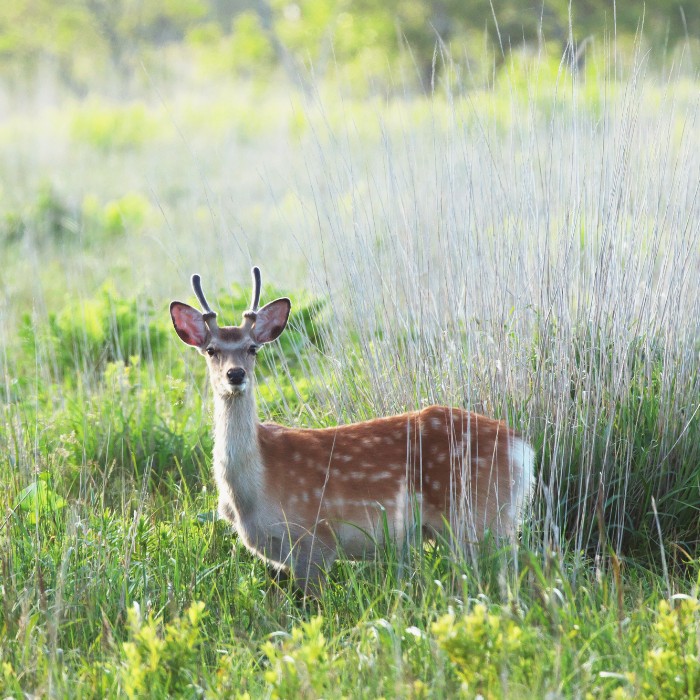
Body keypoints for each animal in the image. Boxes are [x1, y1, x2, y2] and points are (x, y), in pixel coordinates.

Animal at [170, 268, 536, 596]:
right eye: (211, 349)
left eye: (252, 348)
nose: (235, 375)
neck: (253, 494)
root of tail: (522, 448)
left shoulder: (316, 537)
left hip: (479, 514)